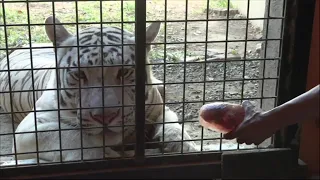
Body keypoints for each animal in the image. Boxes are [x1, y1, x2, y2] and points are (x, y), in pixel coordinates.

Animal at [0, 15, 199, 162]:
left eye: (124, 72)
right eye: (79, 74)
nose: (105, 116)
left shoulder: (158, 108)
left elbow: (172, 122)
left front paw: (182, 144)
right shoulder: (30, 127)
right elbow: (66, 135)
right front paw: (102, 154)